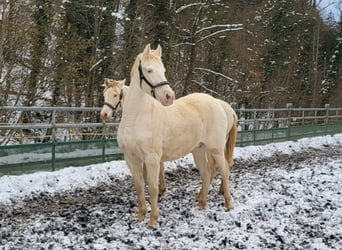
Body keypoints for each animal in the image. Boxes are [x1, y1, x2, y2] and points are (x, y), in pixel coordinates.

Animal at [116, 44, 236, 228]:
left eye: (164, 70)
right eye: (149, 70)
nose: (169, 96)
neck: (137, 117)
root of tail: (219, 104)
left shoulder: (152, 158)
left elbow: (153, 187)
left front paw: (153, 220)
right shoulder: (130, 158)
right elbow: (139, 186)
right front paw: (141, 215)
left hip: (215, 149)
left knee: (224, 171)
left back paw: (228, 203)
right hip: (199, 150)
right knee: (206, 173)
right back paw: (201, 202)